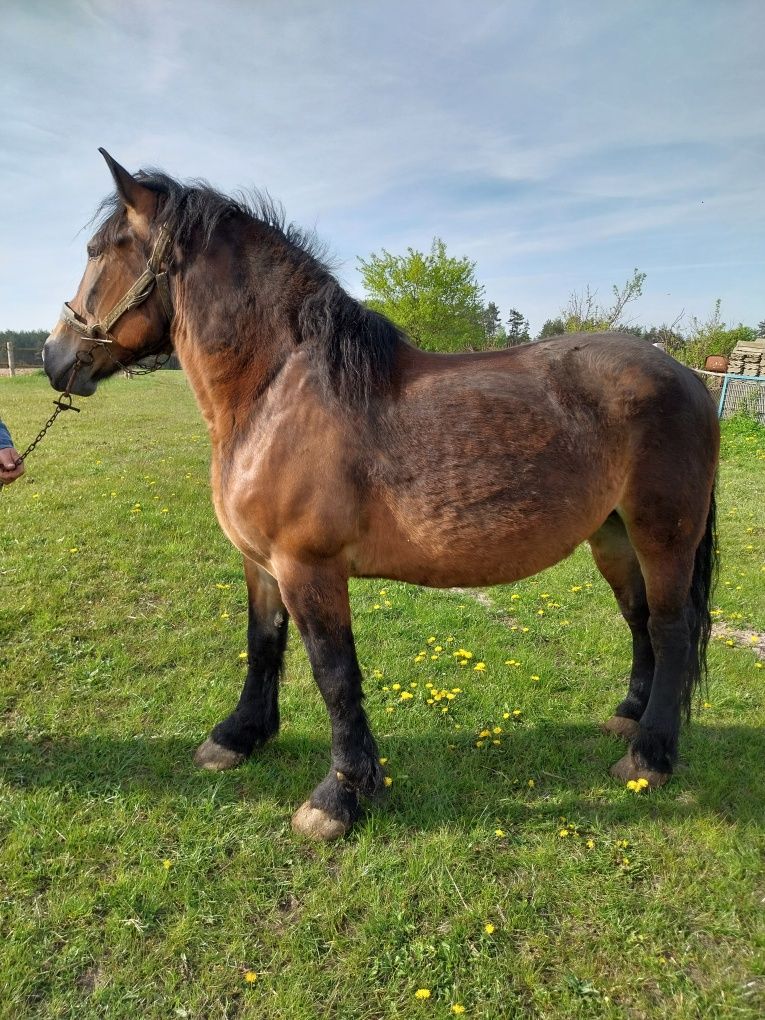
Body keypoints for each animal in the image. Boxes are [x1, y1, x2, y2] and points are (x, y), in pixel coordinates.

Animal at [41, 148, 722, 836]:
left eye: (102, 249)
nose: (54, 357)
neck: (276, 391)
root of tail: (688, 376)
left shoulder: (308, 568)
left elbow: (334, 674)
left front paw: (340, 797)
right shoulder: (262, 565)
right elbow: (263, 645)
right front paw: (237, 738)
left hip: (663, 535)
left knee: (671, 626)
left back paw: (650, 756)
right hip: (613, 535)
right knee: (638, 618)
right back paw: (628, 716)